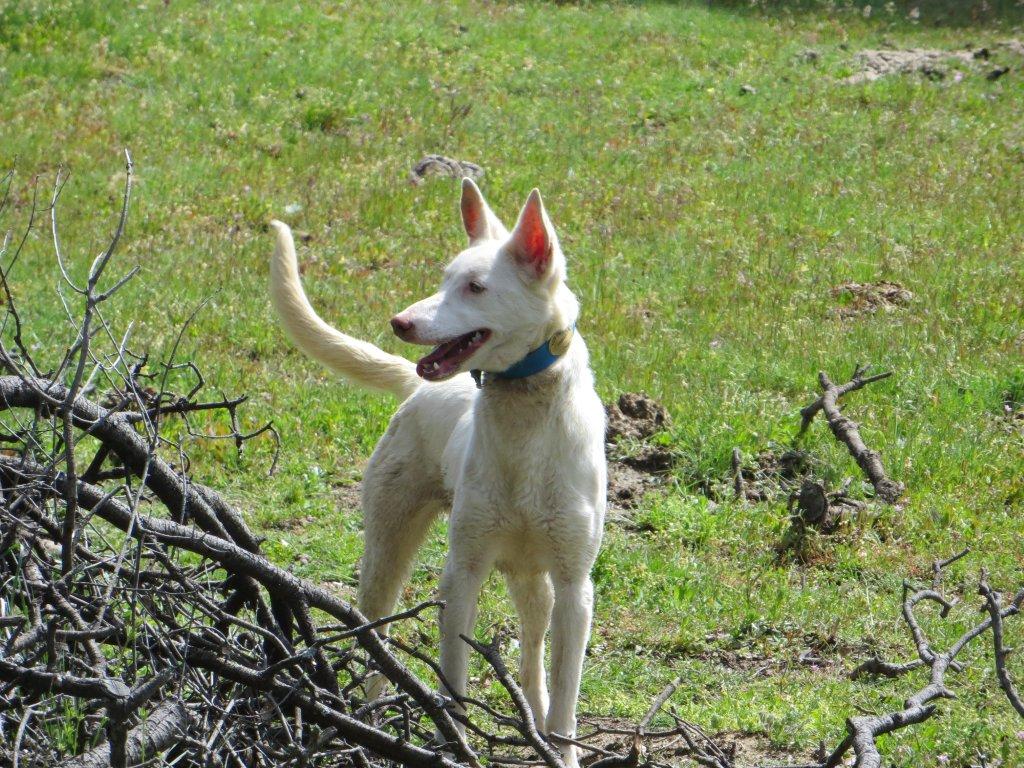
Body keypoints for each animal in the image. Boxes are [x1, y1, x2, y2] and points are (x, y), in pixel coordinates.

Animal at [272, 182, 602, 768]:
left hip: (532, 579)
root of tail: (415, 384)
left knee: (533, 653)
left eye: (475, 287)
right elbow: (454, 679)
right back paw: (369, 715)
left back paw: (534, 720)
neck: (524, 417)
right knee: (375, 641)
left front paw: (559, 749)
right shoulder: (462, 572)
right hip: (388, 551)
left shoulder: (574, 586)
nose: (399, 322)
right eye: (444, 279)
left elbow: (566, 697)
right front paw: (455, 740)